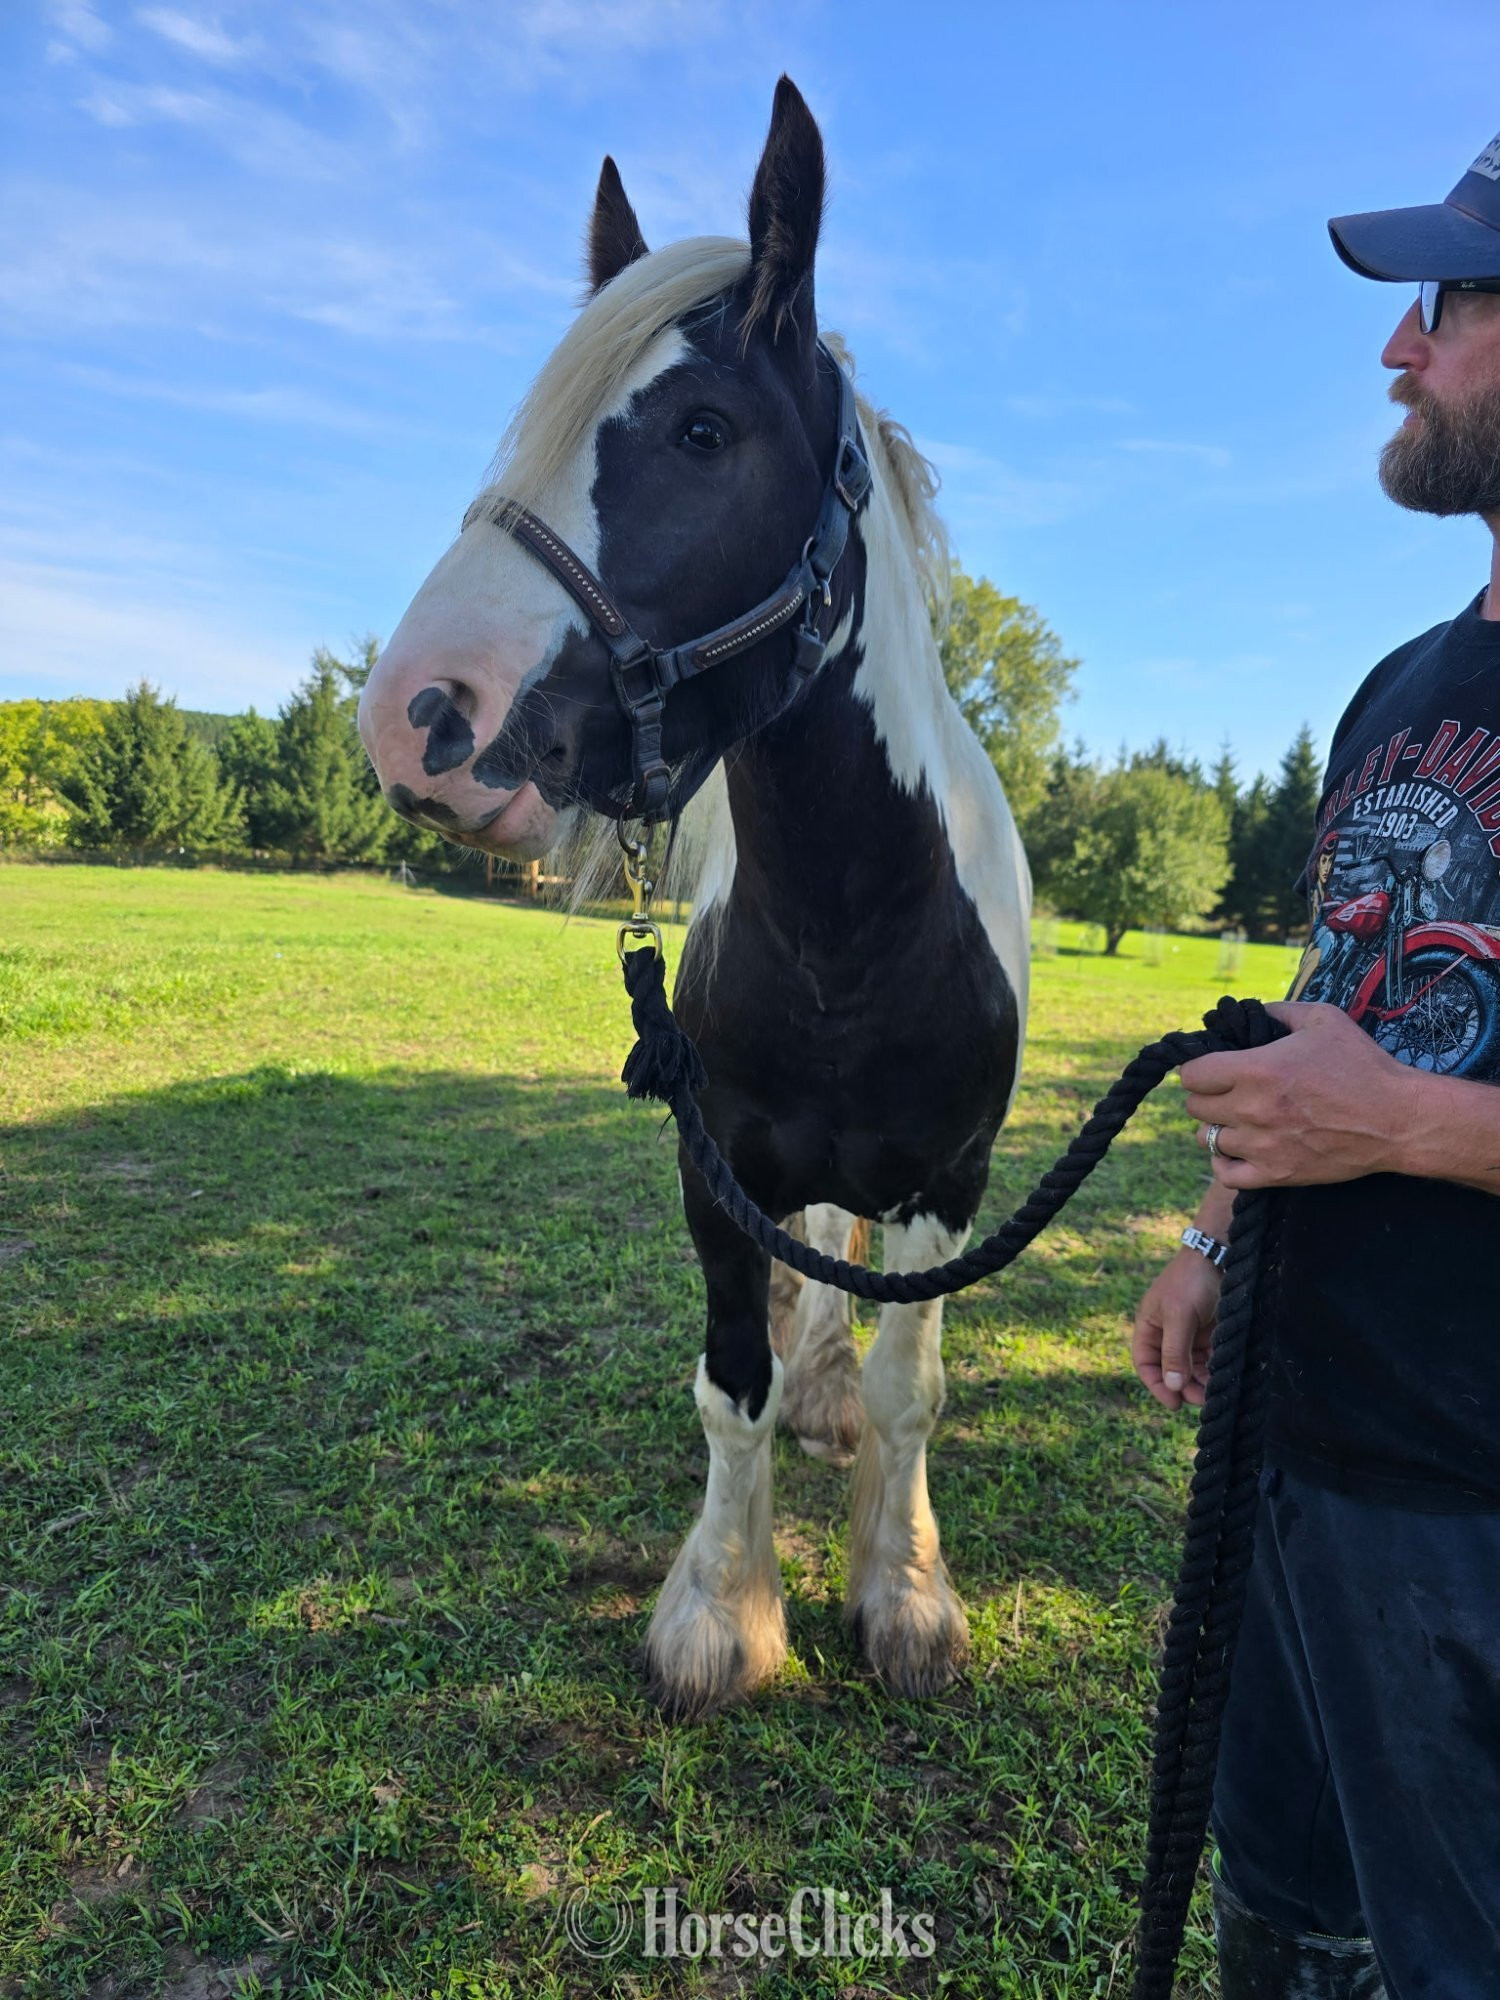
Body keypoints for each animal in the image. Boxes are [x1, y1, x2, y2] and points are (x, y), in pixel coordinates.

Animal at [358, 77, 1031, 1719]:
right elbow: (733, 1384)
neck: (855, 928)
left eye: (703, 430)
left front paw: (904, 1591)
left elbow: (913, 1386)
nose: (417, 717)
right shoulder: (713, 1165)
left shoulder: (951, 1176)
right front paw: (724, 1613)